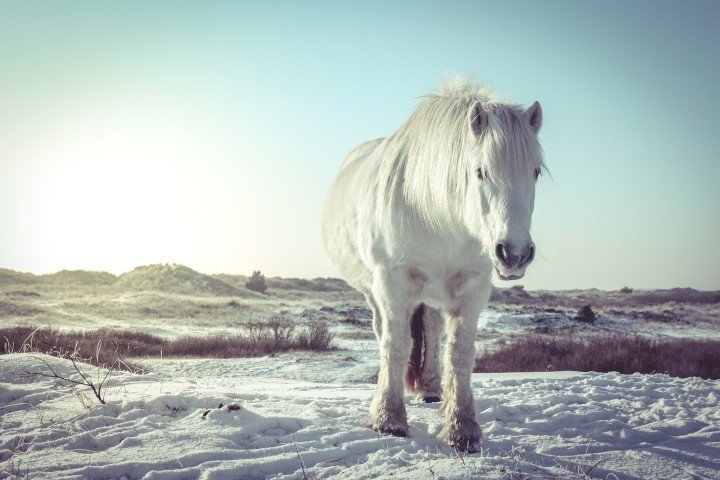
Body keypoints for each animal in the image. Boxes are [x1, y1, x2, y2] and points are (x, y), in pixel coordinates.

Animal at [324, 77, 544, 452]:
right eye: (480, 172)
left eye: (536, 172)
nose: (514, 254)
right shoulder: (392, 283)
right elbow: (397, 345)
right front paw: (389, 419)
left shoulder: (474, 287)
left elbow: (459, 353)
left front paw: (462, 428)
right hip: (373, 291)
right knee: (385, 333)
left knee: (429, 329)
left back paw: (429, 389)